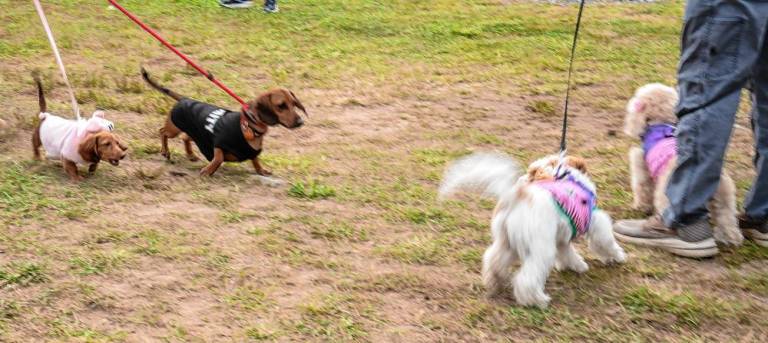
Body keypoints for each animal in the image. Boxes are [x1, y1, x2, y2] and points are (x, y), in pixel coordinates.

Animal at [440, 153, 628, 310]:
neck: (563, 175)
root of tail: (517, 196)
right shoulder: (594, 221)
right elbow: (605, 241)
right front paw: (617, 257)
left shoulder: (560, 237)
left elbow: (567, 253)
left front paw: (577, 266)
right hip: (540, 249)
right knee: (527, 279)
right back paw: (537, 300)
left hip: (506, 243)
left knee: (493, 260)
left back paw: (495, 281)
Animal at [624, 83, 744, 246]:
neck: (661, 124)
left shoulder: (641, 163)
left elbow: (643, 187)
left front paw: (640, 207)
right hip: (724, 195)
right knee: (726, 217)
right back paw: (731, 238)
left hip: (668, 196)